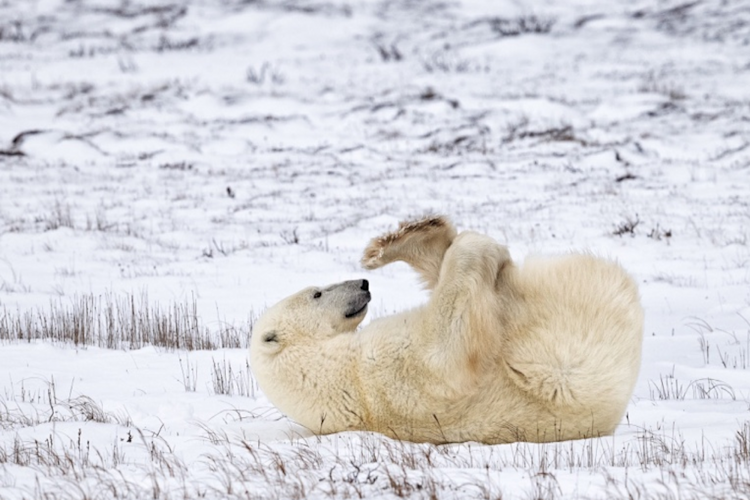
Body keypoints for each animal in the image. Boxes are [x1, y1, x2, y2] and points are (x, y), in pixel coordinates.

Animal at [249, 216, 643, 444]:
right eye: (317, 292)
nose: (362, 284)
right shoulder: (390, 370)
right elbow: (449, 347)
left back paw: (398, 242)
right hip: (561, 332)